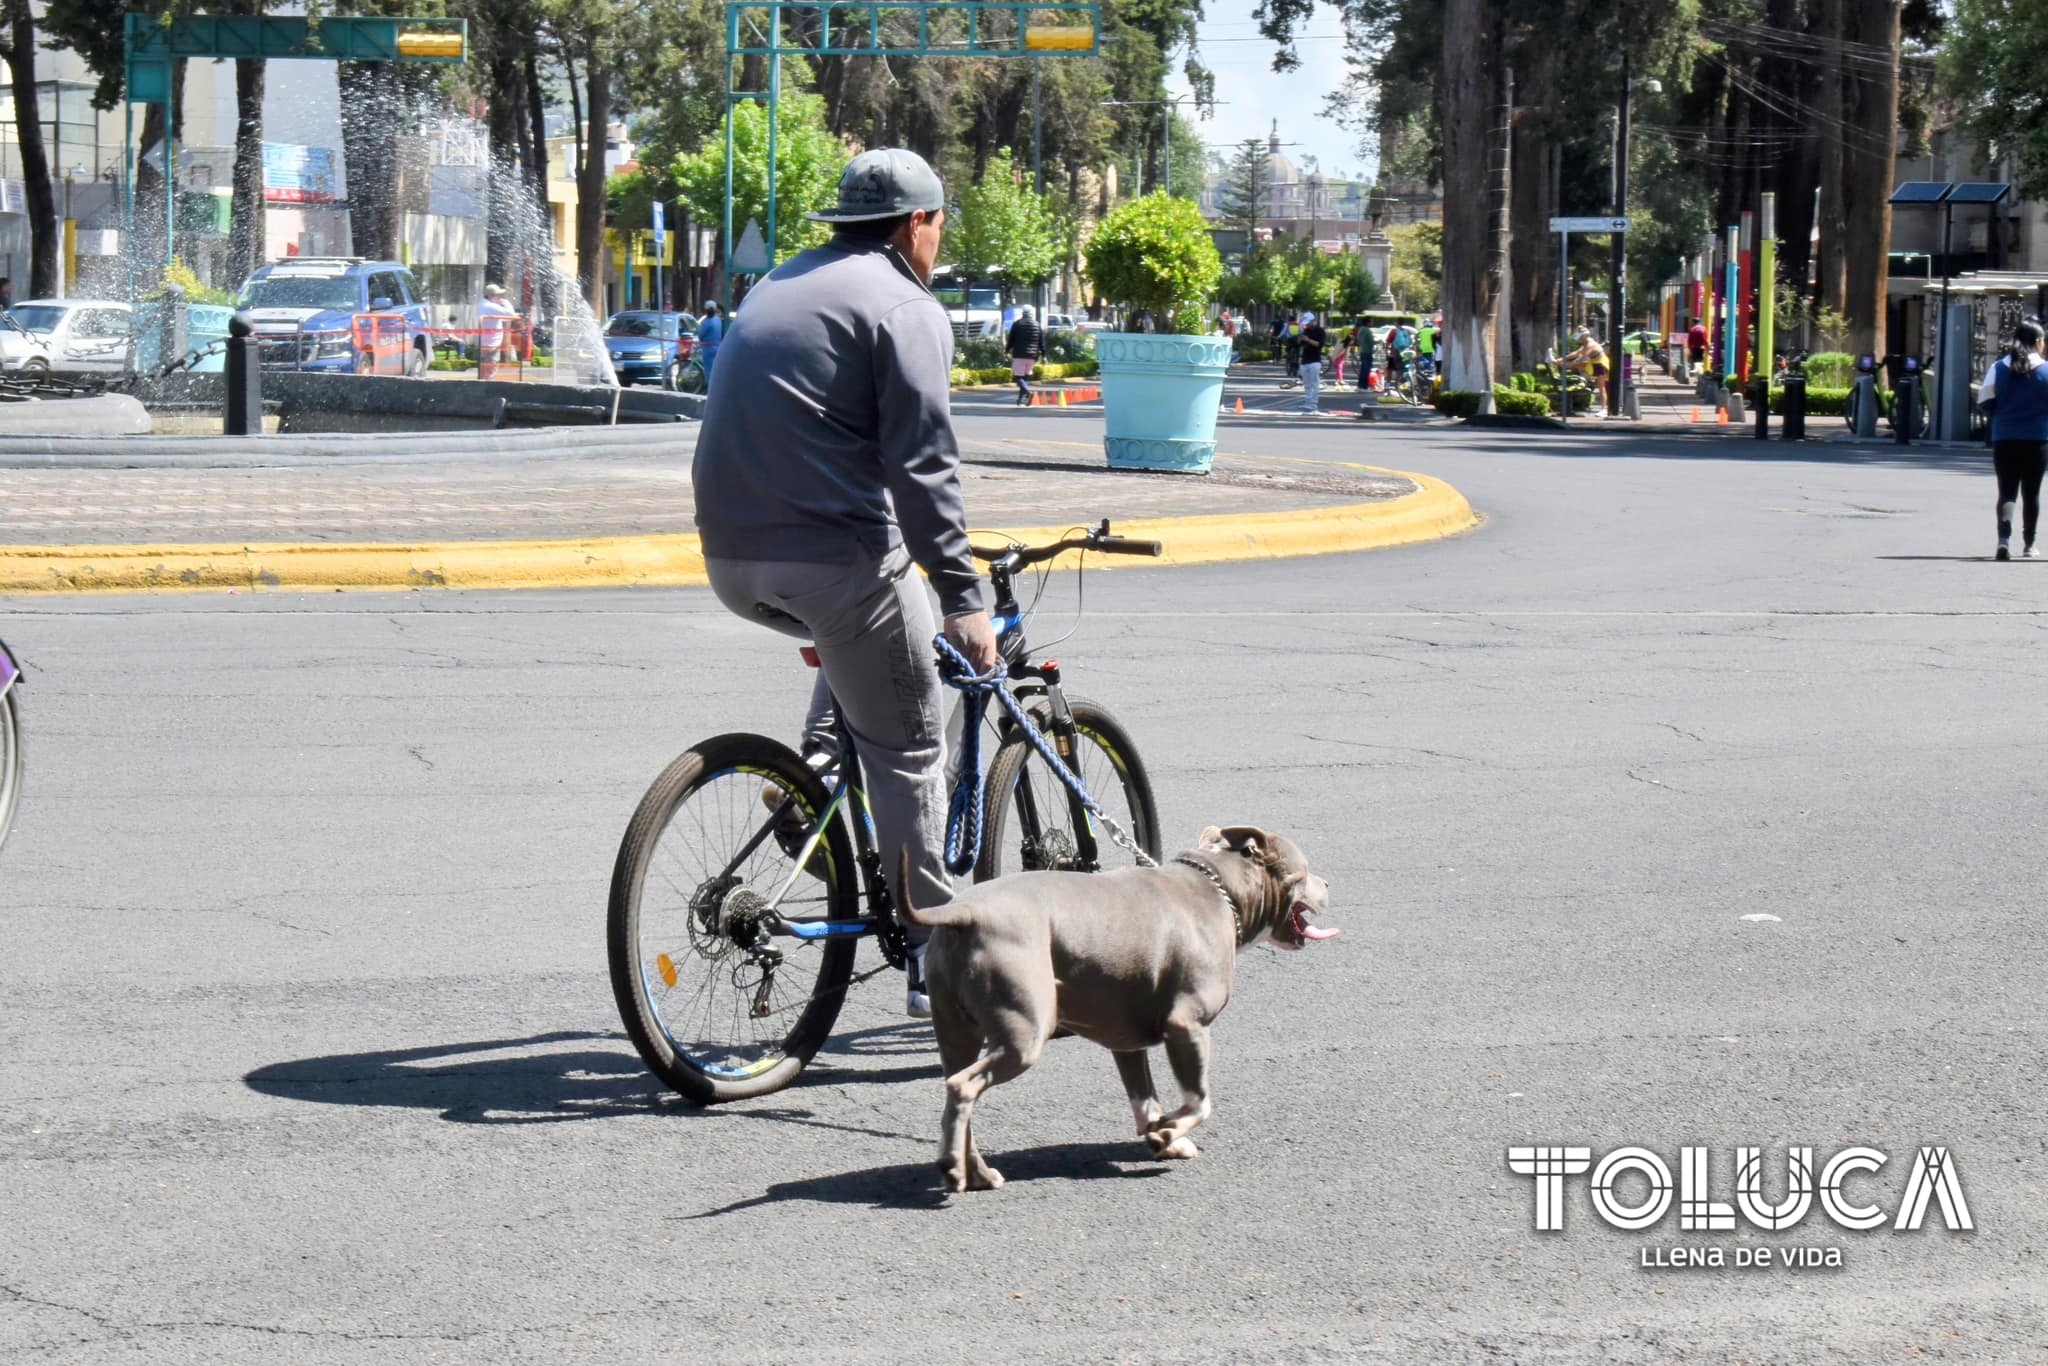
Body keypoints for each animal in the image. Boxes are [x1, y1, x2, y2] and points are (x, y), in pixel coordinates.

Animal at [897, 823, 1327, 1196]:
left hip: (957, 1032)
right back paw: (953, 1168)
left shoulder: (1125, 1042)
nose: (1328, 884)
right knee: (963, 1086)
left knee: (957, 1087)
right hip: (1024, 1035)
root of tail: (964, 913)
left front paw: (1165, 1138)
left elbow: (1145, 1098)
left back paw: (977, 1172)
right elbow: (1200, 1100)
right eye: (1306, 871)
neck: (1220, 886)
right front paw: (1171, 1132)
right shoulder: (1187, 1024)